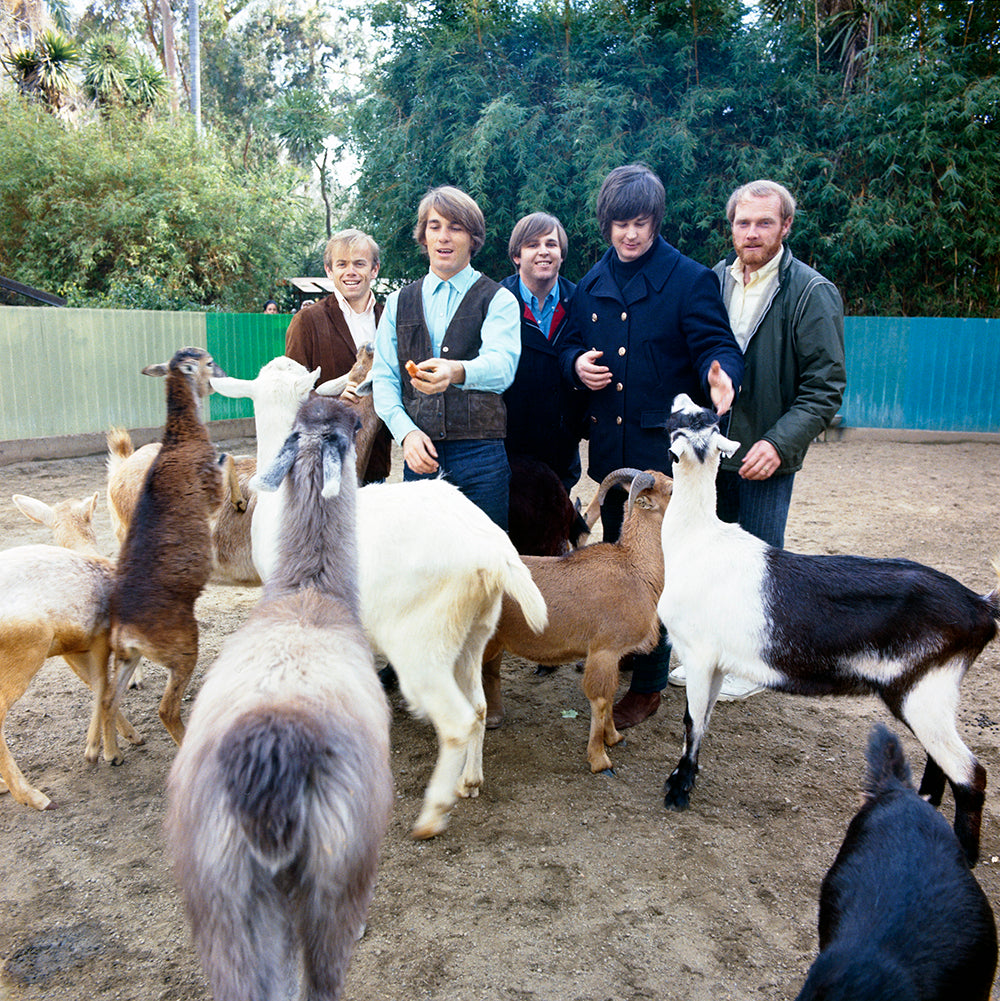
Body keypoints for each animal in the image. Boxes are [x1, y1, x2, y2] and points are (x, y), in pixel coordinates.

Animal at [105, 344, 230, 752]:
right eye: (208, 362)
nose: (223, 372)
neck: (181, 438)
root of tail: (126, 631)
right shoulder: (211, 489)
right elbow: (228, 465)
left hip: (127, 658)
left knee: (107, 699)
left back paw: (112, 751)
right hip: (182, 647)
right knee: (166, 709)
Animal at [482, 468, 672, 772]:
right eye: (671, 490)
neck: (634, 568)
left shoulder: (614, 654)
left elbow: (609, 698)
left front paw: (614, 737)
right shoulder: (604, 650)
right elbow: (600, 700)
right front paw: (599, 758)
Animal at [656, 394, 1000, 864]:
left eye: (684, 419)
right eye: (697, 412)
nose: (679, 398)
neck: (697, 540)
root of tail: (980, 606)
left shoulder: (697, 653)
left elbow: (691, 720)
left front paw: (678, 788)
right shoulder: (718, 664)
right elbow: (704, 718)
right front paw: (686, 777)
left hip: (921, 691)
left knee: (970, 774)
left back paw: (962, 855)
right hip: (932, 694)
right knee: (942, 759)